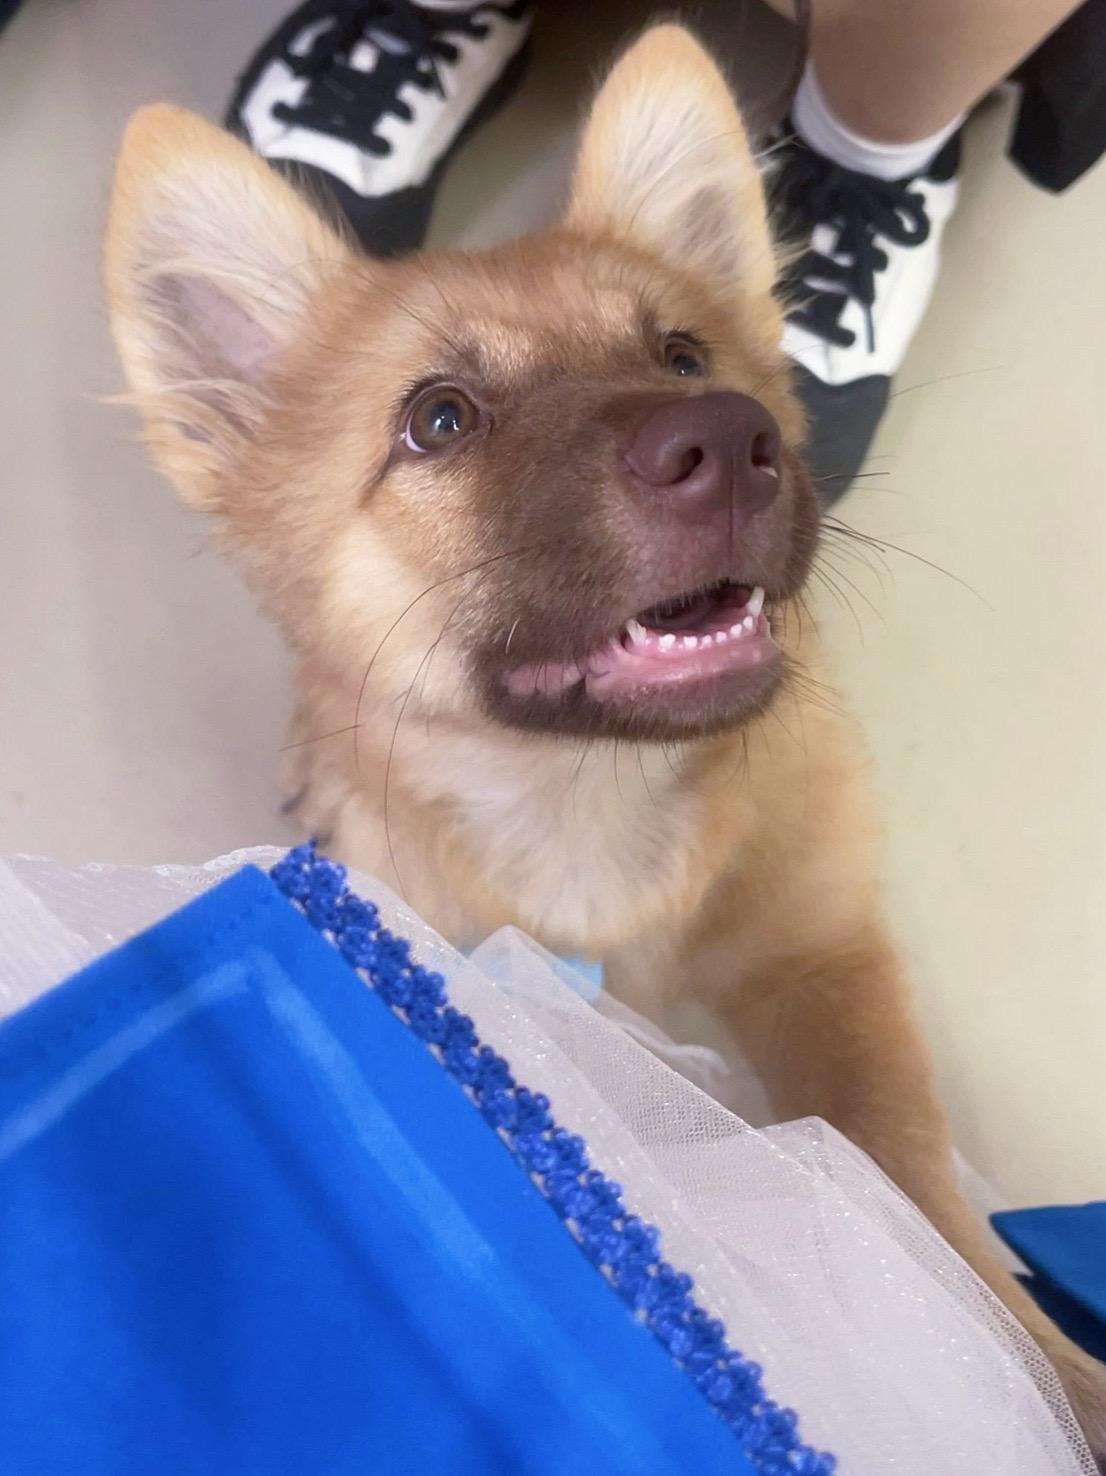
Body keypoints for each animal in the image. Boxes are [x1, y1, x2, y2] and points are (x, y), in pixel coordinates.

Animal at [105, 23, 1106, 1460]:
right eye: (439, 419)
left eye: (684, 355)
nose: (731, 444)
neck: (590, 798)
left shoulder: (821, 955)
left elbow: (907, 1176)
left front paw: (1044, 1373)